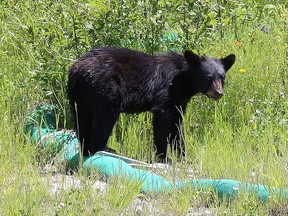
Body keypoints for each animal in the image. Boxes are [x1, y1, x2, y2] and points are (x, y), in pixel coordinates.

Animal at [68, 46, 236, 160]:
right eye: (208, 77)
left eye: (222, 77)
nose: (218, 93)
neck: (183, 81)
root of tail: (77, 70)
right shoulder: (166, 93)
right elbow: (162, 123)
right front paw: (164, 157)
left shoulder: (179, 100)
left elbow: (177, 126)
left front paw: (183, 156)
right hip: (105, 88)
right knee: (105, 118)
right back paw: (104, 149)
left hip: (79, 97)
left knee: (81, 120)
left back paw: (85, 149)